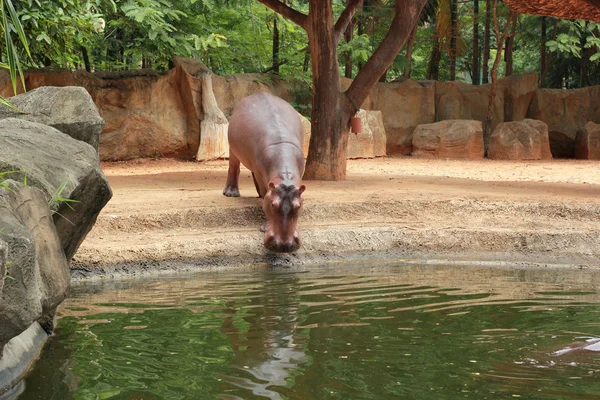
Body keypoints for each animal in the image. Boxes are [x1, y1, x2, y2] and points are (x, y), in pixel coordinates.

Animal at [223, 92, 304, 252]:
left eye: (298, 206)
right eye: (272, 205)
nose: (284, 245)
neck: (284, 177)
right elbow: (264, 191)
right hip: (233, 149)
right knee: (233, 167)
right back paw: (231, 193)